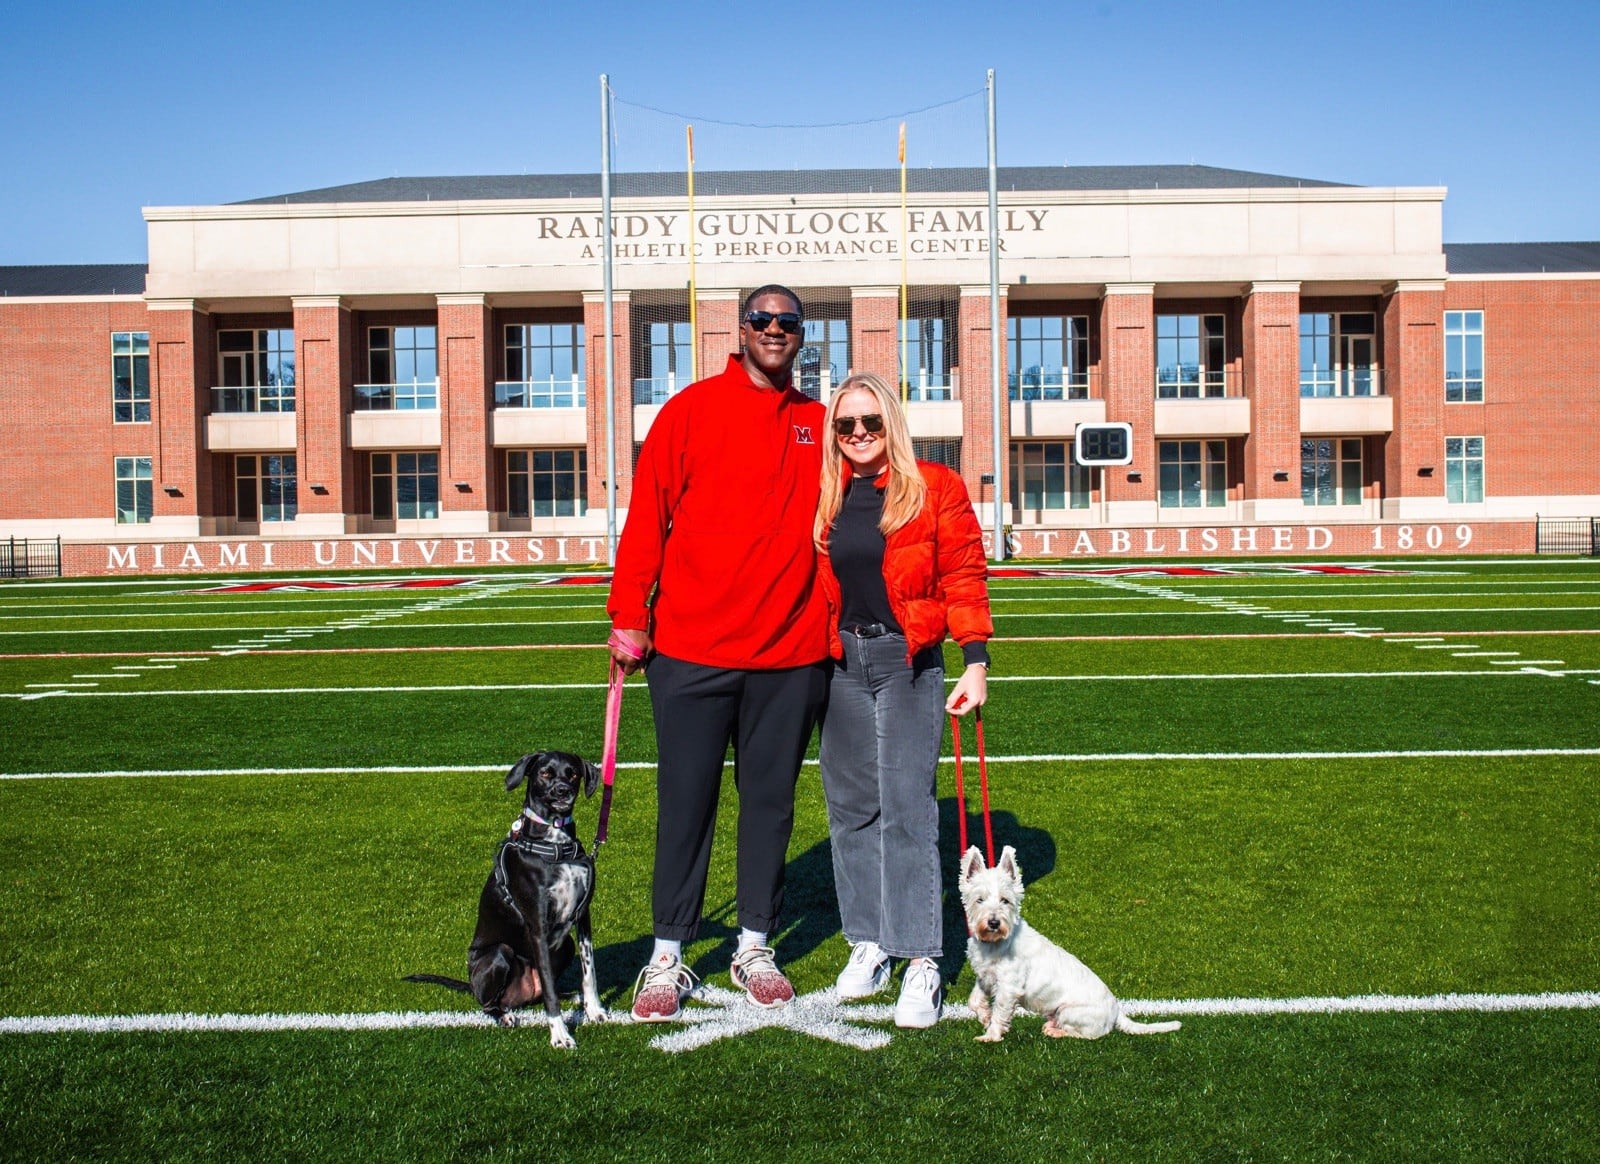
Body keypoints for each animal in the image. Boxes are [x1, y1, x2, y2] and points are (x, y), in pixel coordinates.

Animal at [406, 751, 604, 1048]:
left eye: (572, 773)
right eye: (545, 773)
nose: (563, 791)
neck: (554, 845)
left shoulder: (583, 918)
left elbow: (588, 972)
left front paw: (594, 1010)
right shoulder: (537, 927)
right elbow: (550, 992)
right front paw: (560, 1035)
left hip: (565, 945)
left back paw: (572, 997)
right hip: (499, 954)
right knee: (491, 1003)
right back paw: (504, 1015)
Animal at [953, 844, 1184, 1042]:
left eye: (1005, 900)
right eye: (979, 899)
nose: (994, 923)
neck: (994, 943)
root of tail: (1117, 1011)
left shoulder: (1009, 986)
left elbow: (1000, 1012)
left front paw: (990, 1035)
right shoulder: (985, 977)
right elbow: (974, 1000)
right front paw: (984, 1017)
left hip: (1069, 1011)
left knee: (1087, 1035)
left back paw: (1055, 1031)